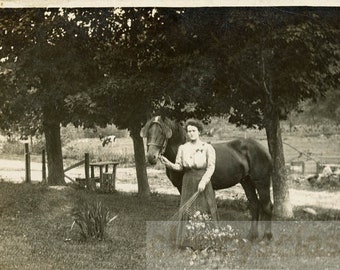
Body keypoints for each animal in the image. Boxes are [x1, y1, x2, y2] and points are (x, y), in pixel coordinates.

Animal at [141, 116, 274, 240]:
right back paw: (251, 237)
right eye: (148, 132)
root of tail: (264, 150)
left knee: (267, 206)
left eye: (162, 132)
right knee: (255, 205)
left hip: (261, 182)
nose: (151, 157)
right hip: (247, 182)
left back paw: (266, 237)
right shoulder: (182, 188)